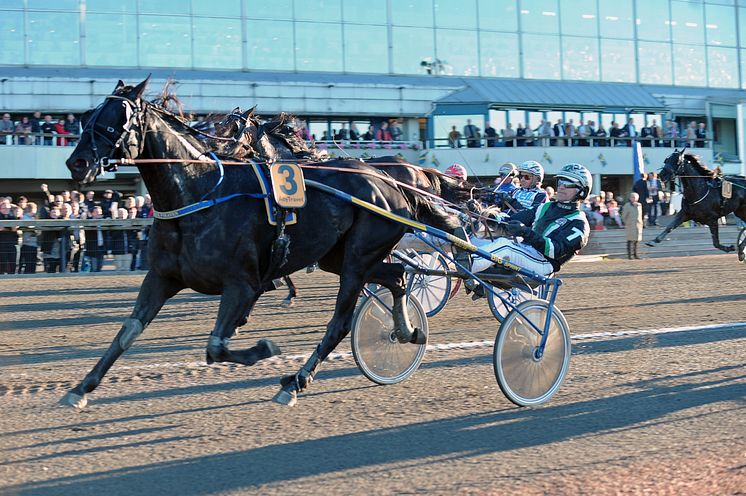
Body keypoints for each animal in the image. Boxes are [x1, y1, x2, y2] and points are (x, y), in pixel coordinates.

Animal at [62, 77, 464, 408]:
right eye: (88, 114)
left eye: (117, 116)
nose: (76, 162)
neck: (199, 192)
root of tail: (391, 180)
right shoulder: (162, 277)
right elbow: (127, 332)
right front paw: (81, 388)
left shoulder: (242, 283)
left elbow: (216, 345)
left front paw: (263, 348)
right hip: (342, 257)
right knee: (397, 276)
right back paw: (405, 331)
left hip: (357, 259)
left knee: (341, 322)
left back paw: (296, 381)